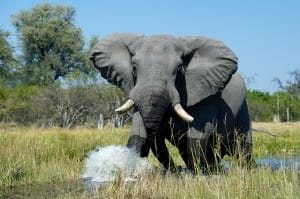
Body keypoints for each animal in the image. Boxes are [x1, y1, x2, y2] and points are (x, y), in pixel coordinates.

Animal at [89, 32, 253, 173]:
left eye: (179, 69)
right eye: (134, 68)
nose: (176, 170)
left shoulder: (207, 94)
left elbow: (197, 136)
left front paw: (197, 174)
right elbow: (138, 133)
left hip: (243, 109)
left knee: (243, 147)